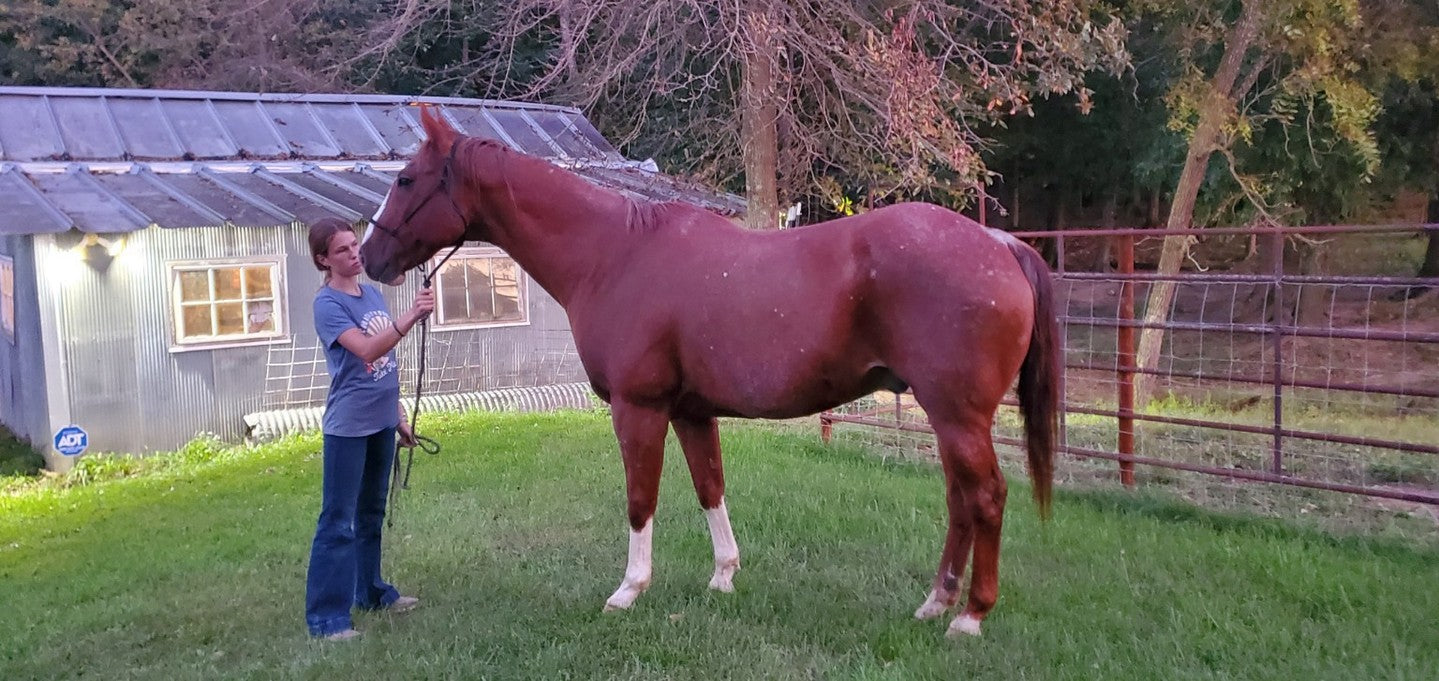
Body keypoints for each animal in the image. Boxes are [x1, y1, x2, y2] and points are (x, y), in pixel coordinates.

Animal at [360, 106, 1060, 638]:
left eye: (406, 179)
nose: (369, 256)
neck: (612, 252)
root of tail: (1001, 244)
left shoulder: (638, 408)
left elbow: (641, 499)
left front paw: (629, 590)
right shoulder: (692, 411)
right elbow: (710, 488)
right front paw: (723, 575)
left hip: (957, 414)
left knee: (986, 497)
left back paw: (968, 617)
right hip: (947, 417)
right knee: (961, 500)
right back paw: (935, 602)